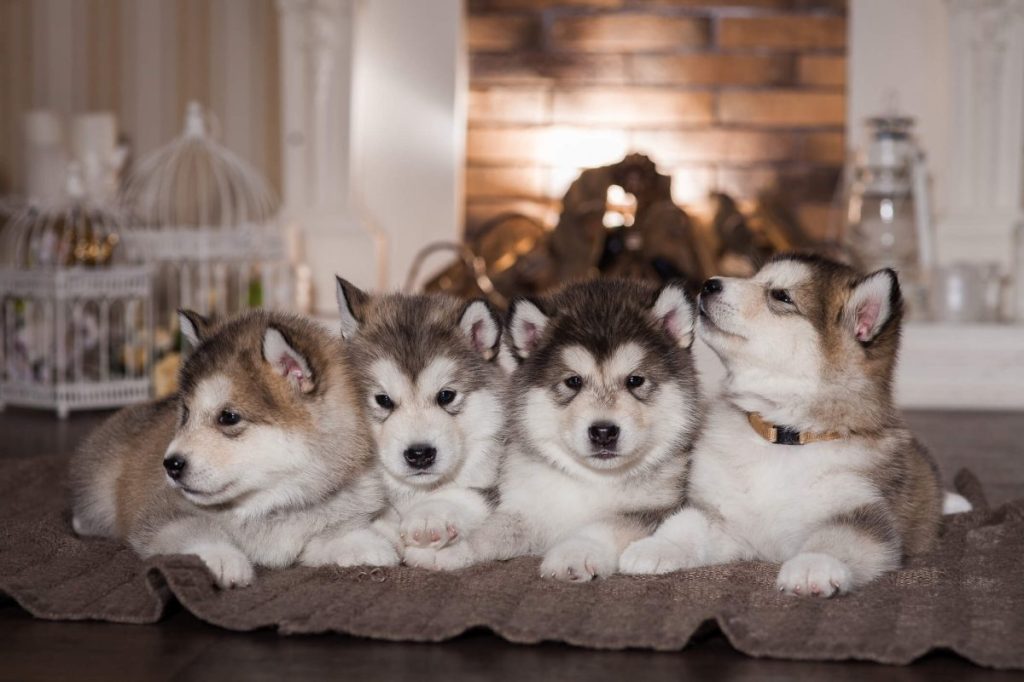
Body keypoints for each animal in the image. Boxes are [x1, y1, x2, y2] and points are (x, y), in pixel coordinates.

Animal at [70, 307, 397, 585]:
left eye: (228, 417)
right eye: (185, 413)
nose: (171, 464)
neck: (269, 502)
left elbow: (328, 536)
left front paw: (367, 545)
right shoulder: (161, 515)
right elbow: (193, 531)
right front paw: (222, 557)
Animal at [432, 278, 704, 581]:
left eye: (635, 380)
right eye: (573, 381)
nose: (603, 432)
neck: (592, 479)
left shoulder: (660, 508)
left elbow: (609, 525)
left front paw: (576, 552)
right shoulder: (532, 510)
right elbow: (494, 529)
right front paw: (453, 548)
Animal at [614, 253, 942, 593]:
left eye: (781, 296)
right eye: (756, 277)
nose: (708, 284)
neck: (782, 436)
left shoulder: (863, 511)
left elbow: (834, 540)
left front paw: (812, 566)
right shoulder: (726, 518)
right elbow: (687, 524)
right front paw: (656, 547)